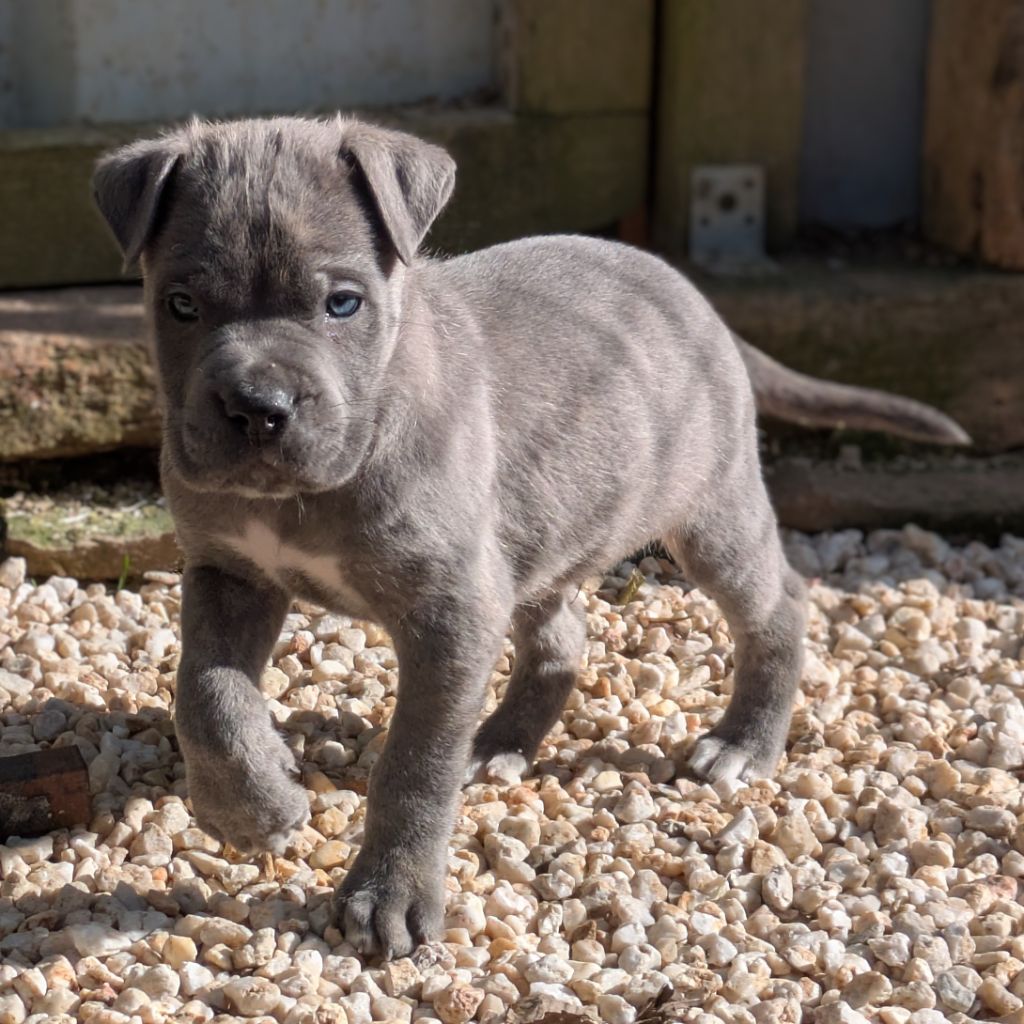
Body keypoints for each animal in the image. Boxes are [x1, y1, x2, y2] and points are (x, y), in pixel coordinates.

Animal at [92, 116, 968, 957]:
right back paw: (504, 740)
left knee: (778, 605)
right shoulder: (229, 572)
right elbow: (205, 693)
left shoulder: (449, 615)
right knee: (561, 638)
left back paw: (743, 743)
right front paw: (252, 804)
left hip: (711, 513)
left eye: (343, 303)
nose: (257, 407)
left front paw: (390, 895)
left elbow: (414, 764)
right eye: (180, 305)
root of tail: (691, 297)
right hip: (538, 539)